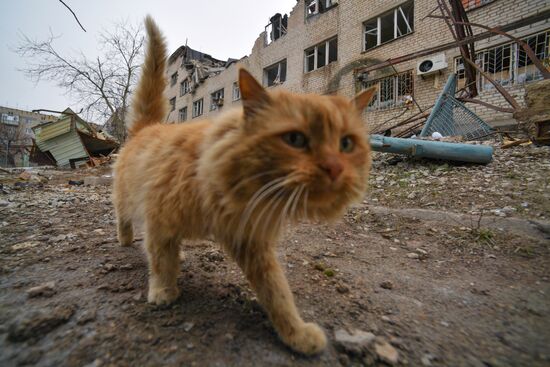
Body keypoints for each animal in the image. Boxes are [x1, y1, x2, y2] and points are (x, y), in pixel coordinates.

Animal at [113, 17, 378, 356]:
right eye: (295, 139)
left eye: (346, 144)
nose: (334, 167)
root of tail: (148, 127)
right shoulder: (161, 217)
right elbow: (159, 261)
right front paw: (163, 291)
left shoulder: (253, 242)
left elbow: (277, 293)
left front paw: (295, 334)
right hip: (127, 198)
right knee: (127, 221)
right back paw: (126, 240)